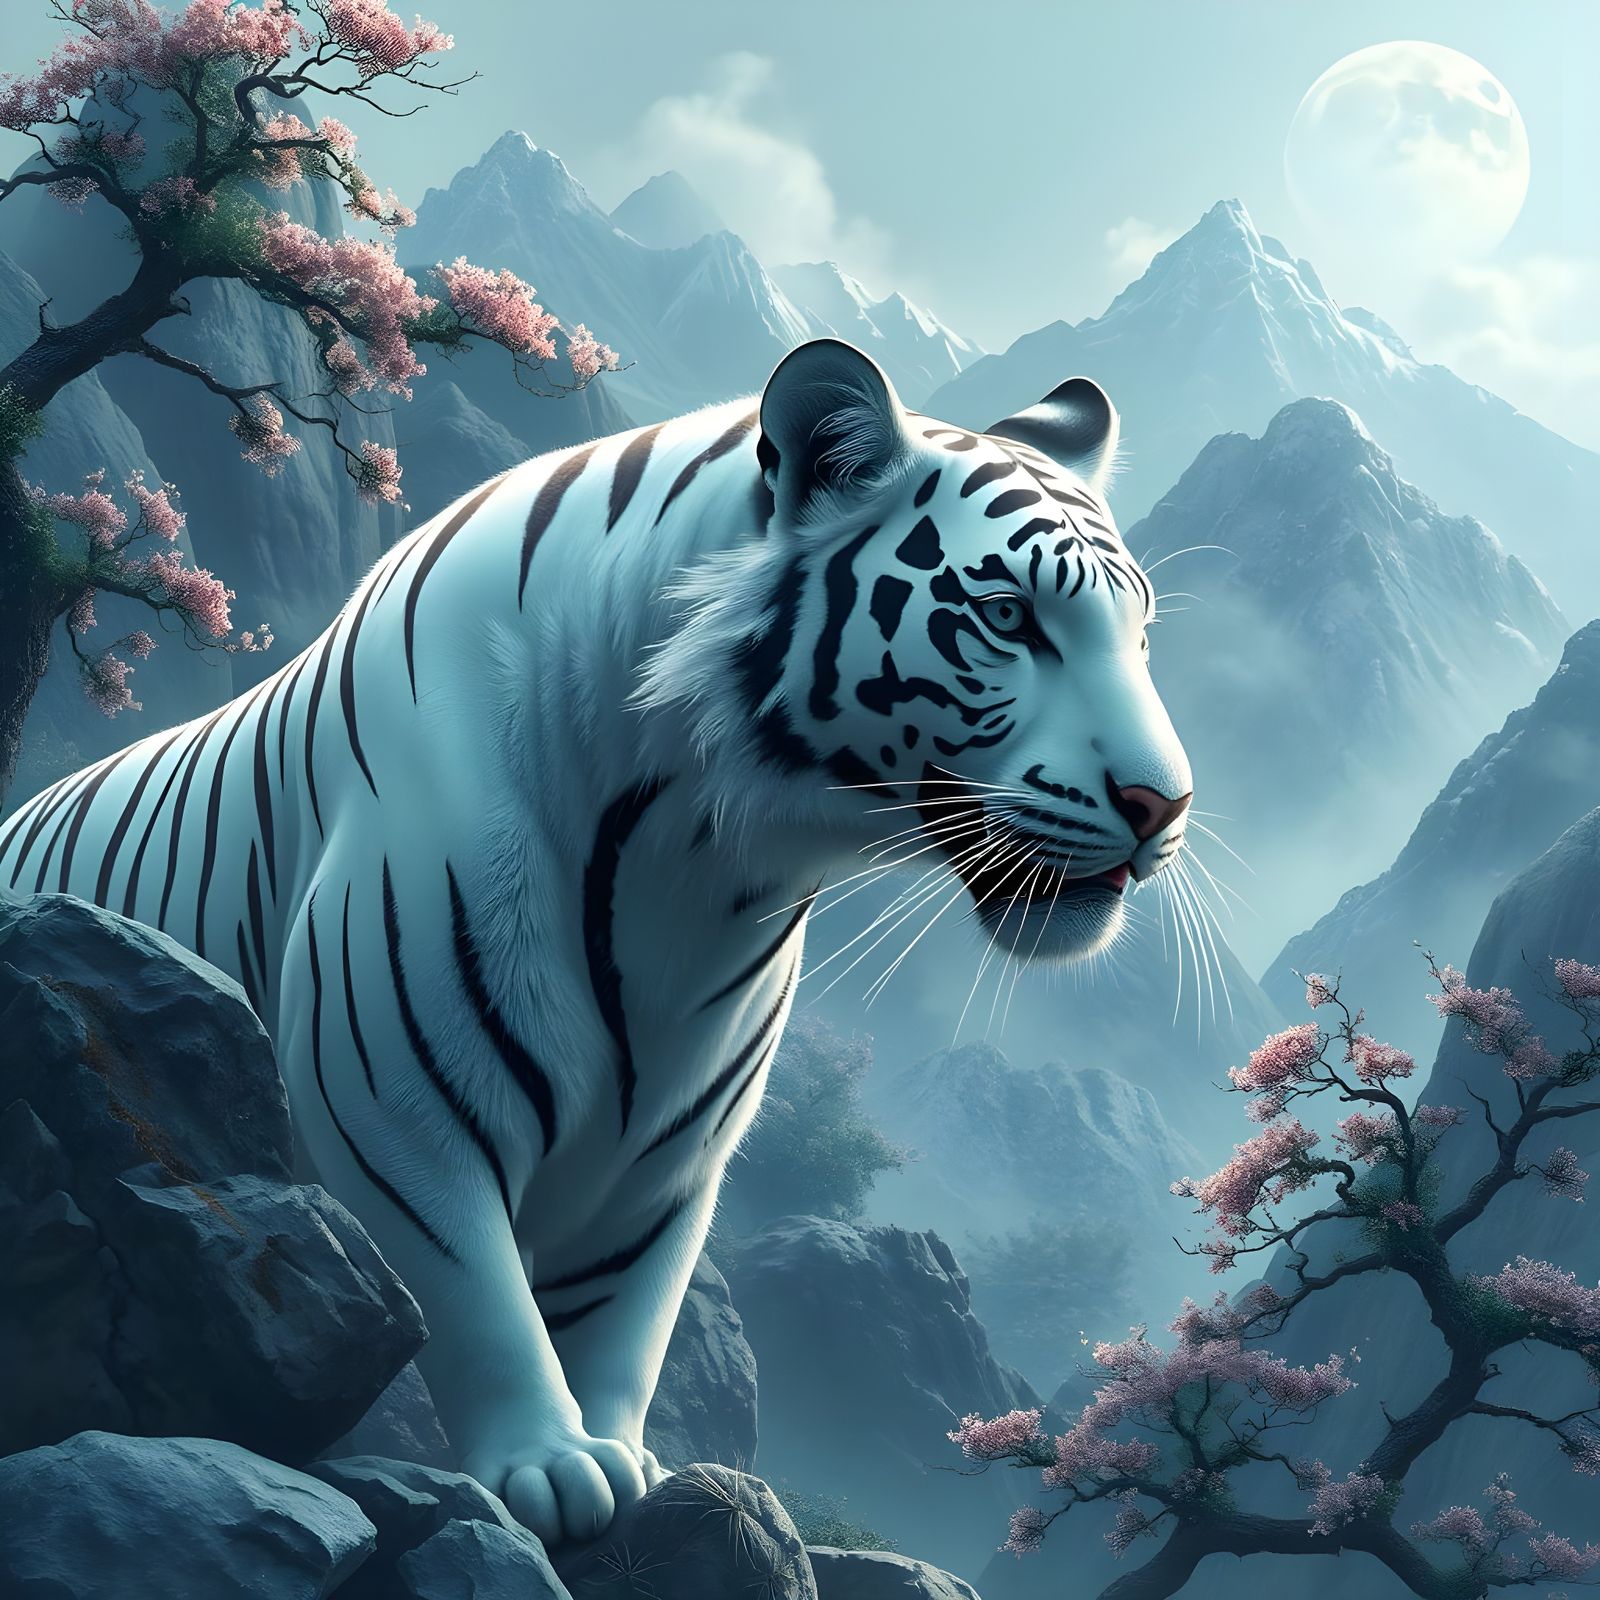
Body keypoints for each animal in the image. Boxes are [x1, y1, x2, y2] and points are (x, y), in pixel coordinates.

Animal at [0, 338, 1191, 1544]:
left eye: (1143, 638)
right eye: (1007, 616)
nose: (1165, 805)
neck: (698, 864)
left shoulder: (670, 1151)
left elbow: (627, 1316)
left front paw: (625, 1462)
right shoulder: (395, 1098)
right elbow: (474, 1288)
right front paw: (547, 1464)